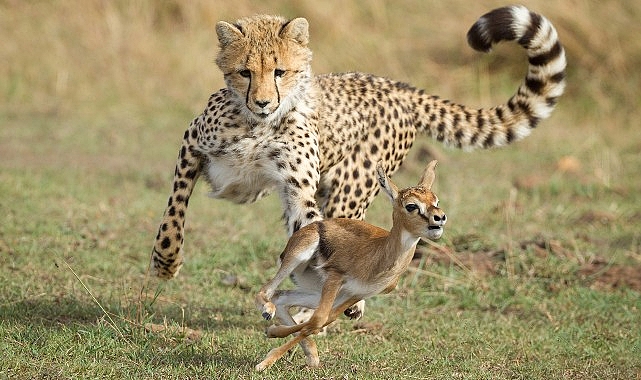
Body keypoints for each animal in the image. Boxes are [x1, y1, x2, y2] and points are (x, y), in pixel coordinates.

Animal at [150, 5, 564, 288]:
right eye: (245, 72)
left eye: (280, 71)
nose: (264, 102)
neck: (258, 125)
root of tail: (397, 86)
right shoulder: (192, 144)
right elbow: (174, 209)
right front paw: (165, 261)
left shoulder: (298, 189)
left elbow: (312, 228)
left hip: (352, 189)